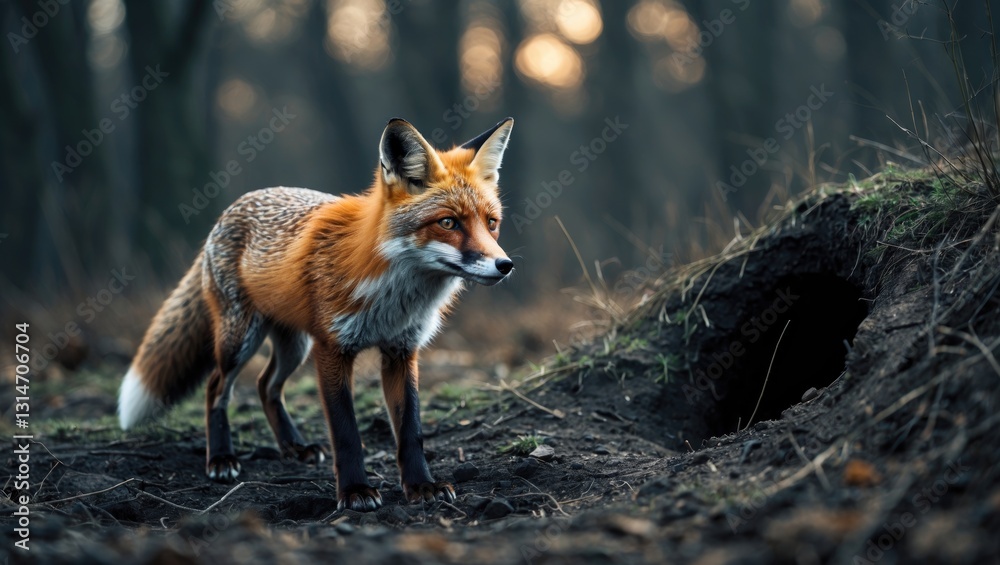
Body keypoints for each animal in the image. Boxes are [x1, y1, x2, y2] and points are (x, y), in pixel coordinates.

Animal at [118, 117, 515, 511]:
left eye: (491, 223)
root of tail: (231, 209)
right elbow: (346, 432)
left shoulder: (402, 351)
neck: (393, 298)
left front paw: (421, 486)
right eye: (448, 223)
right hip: (240, 340)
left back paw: (294, 447)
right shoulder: (332, 349)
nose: (505, 265)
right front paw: (355, 491)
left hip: (294, 346)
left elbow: (410, 430)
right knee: (217, 386)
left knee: (266, 385)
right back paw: (220, 459)